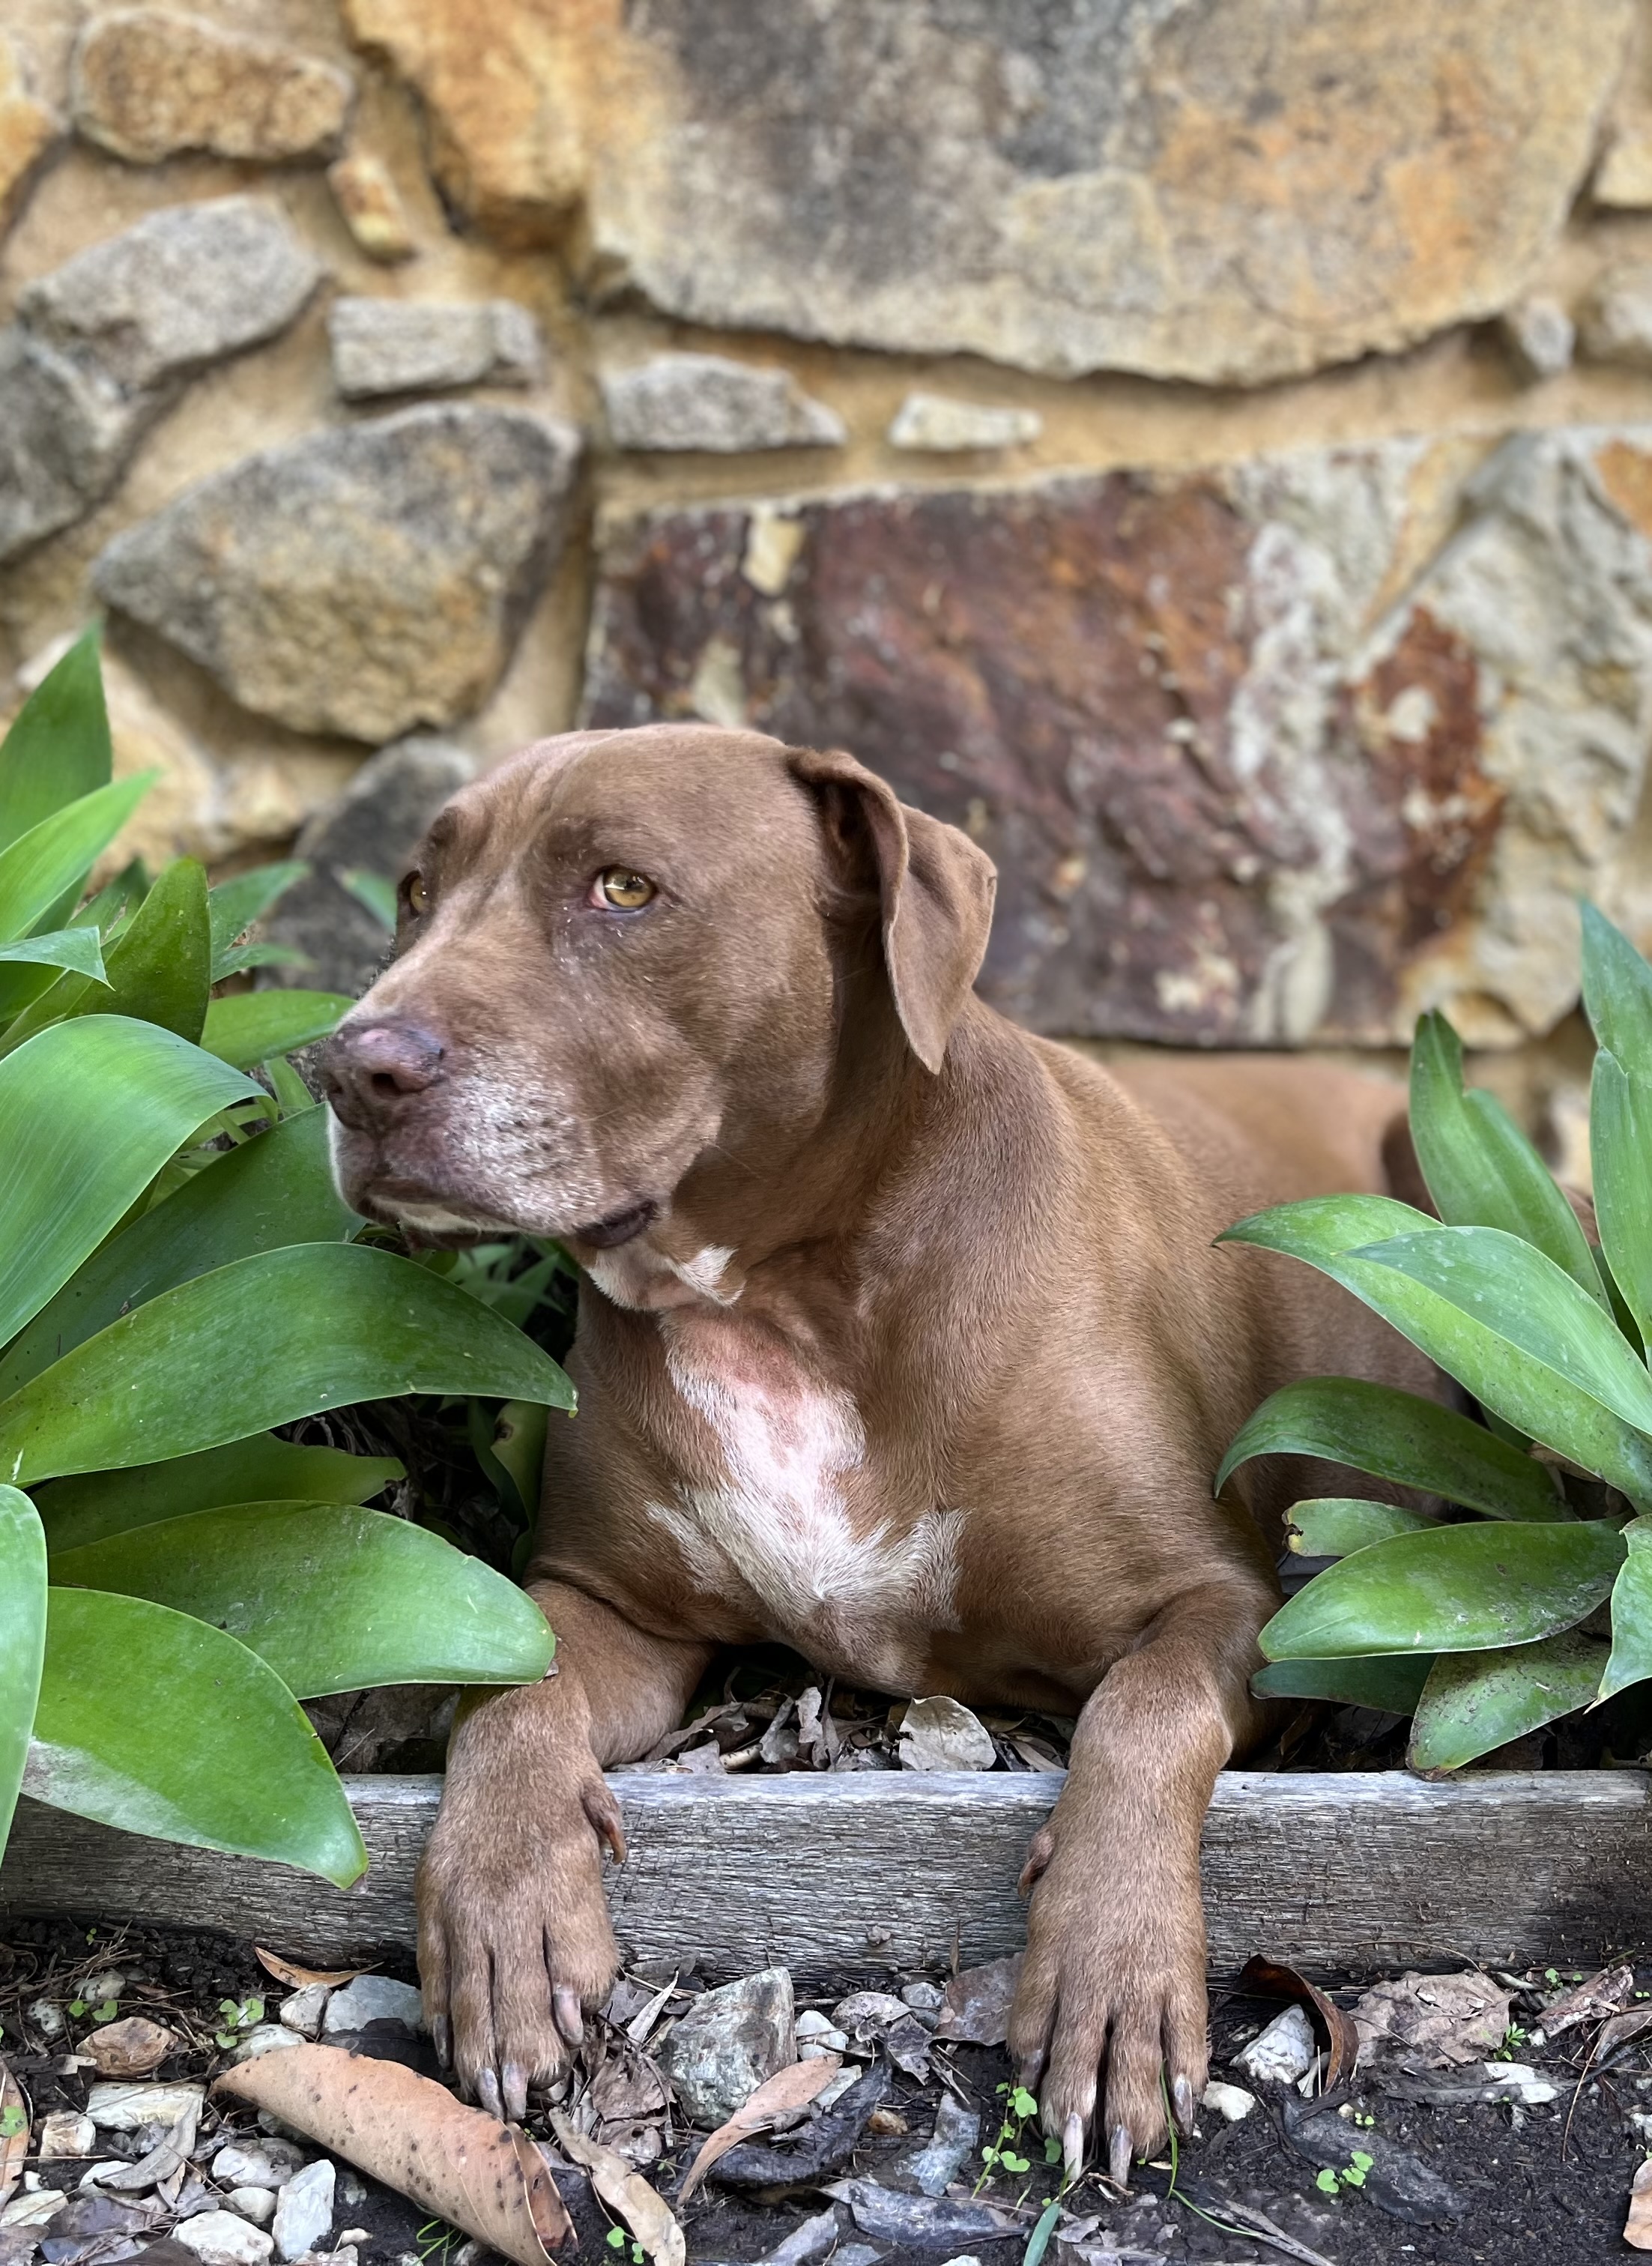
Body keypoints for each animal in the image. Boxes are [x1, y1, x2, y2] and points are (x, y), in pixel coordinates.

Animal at [320, 724, 1437, 2181]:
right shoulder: (612, 1605)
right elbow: (511, 1683)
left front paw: (1116, 1972)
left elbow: (1143, 1712)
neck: (784, 1294)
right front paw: (503, 1911)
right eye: (415, 889)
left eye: (623, 888)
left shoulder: (1227, 1601)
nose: (350, 1067)